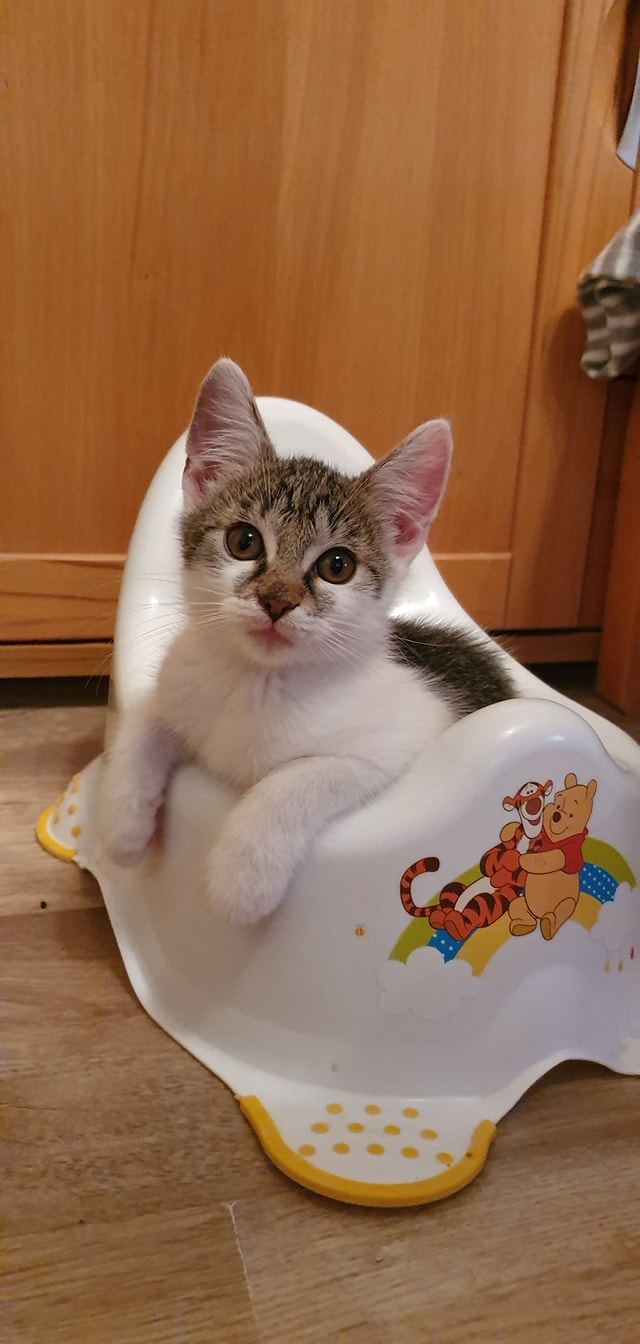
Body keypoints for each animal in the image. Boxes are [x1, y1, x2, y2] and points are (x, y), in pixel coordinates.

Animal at [99, 357, 515, 923]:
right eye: (244, 541)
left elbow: (302, 777)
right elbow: (144, 722)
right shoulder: (180, 684)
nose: (277, 601)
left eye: (337, 566)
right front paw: (123, 827)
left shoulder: (406, 732)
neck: (258, 682)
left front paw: (241, 880)